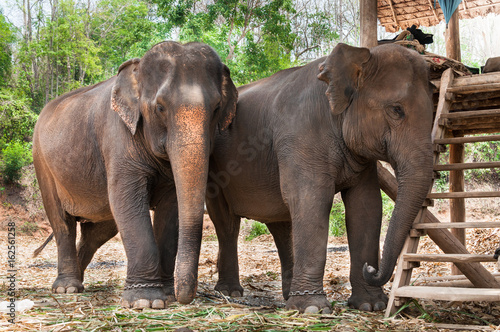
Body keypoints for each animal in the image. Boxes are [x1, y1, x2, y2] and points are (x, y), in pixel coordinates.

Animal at [32, 40, 238, 308]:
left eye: (216, 108)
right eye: (160, 107)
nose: (184, 297)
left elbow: (170, 209)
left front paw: (166, 295)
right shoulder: (118, 138)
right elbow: (127, 201)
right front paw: (145, 301)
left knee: (98, 230)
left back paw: (78, 279)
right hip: (43, 165)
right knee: (62, 222)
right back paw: (67, 288)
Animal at [205, 43, 436, 314]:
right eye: (396, 110)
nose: (371, 268)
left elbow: (366, 205)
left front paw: (371, 305)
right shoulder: (300, 135)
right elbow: (312, 200)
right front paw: (313, 309)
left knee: (281, 224)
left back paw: (287, 296)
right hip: (214, 170)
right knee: (227, 223)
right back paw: (230, 292)